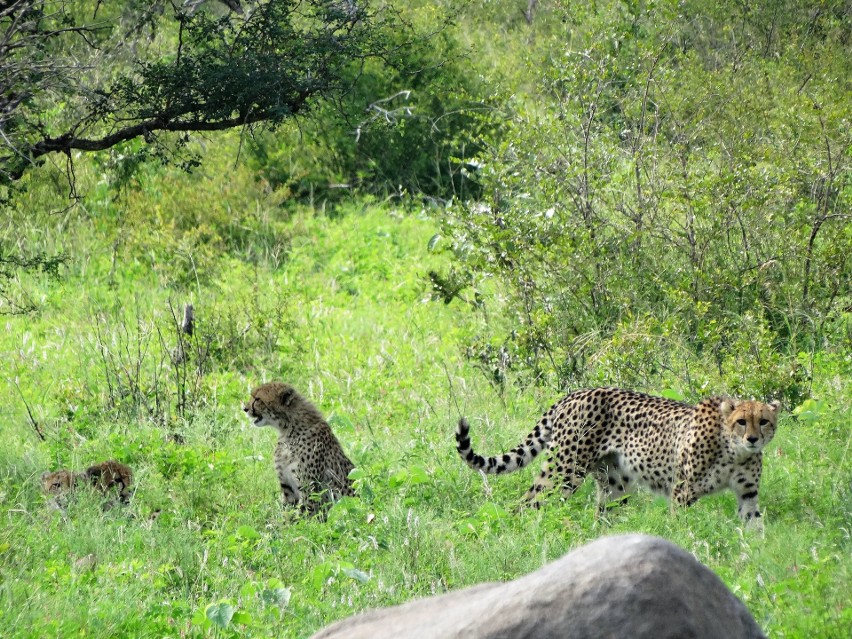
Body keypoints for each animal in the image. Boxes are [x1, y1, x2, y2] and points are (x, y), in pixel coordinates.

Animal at [243, 382, 356, 516]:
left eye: (257, 399)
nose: (245, 409)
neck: (287, 430)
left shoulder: (309, 488)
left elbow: (303, 514)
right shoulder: (287, 488)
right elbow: (287, 515)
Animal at [456, 388, 784, 528]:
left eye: (763, 421)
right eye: (742, 422)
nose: (753, 439)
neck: (734, 451)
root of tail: (576, 392)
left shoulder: (747, 493)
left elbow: (754, 525)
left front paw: (757, 555)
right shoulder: (682, 490)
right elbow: (680, 523)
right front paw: (684, 542)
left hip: (616, 483)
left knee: (601, 514)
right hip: (566, 471)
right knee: (527, 502)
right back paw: (520, 533)